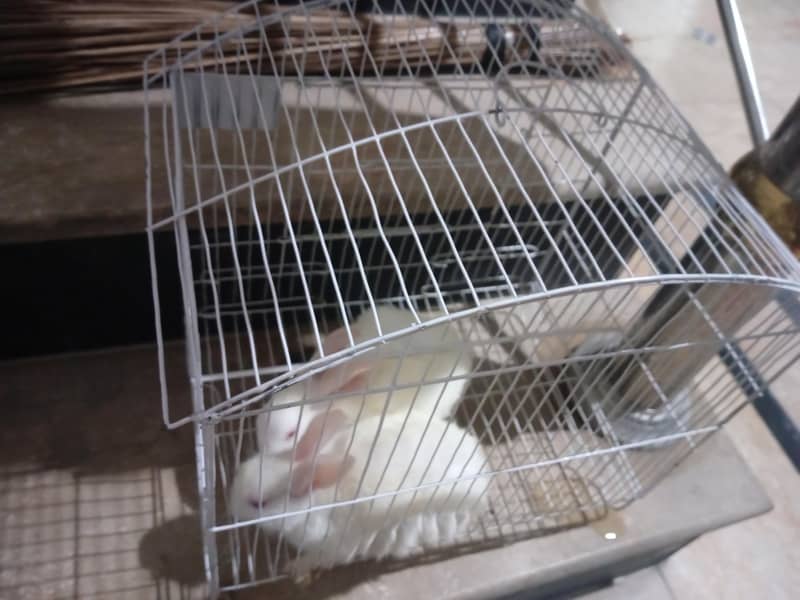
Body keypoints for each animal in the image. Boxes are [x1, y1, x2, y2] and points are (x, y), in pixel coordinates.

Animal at [232, 407, 489, 573]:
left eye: (258, 503)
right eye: (248, 463)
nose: (230, 503)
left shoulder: (335, 547)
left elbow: (320, 560)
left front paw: (294, 567)